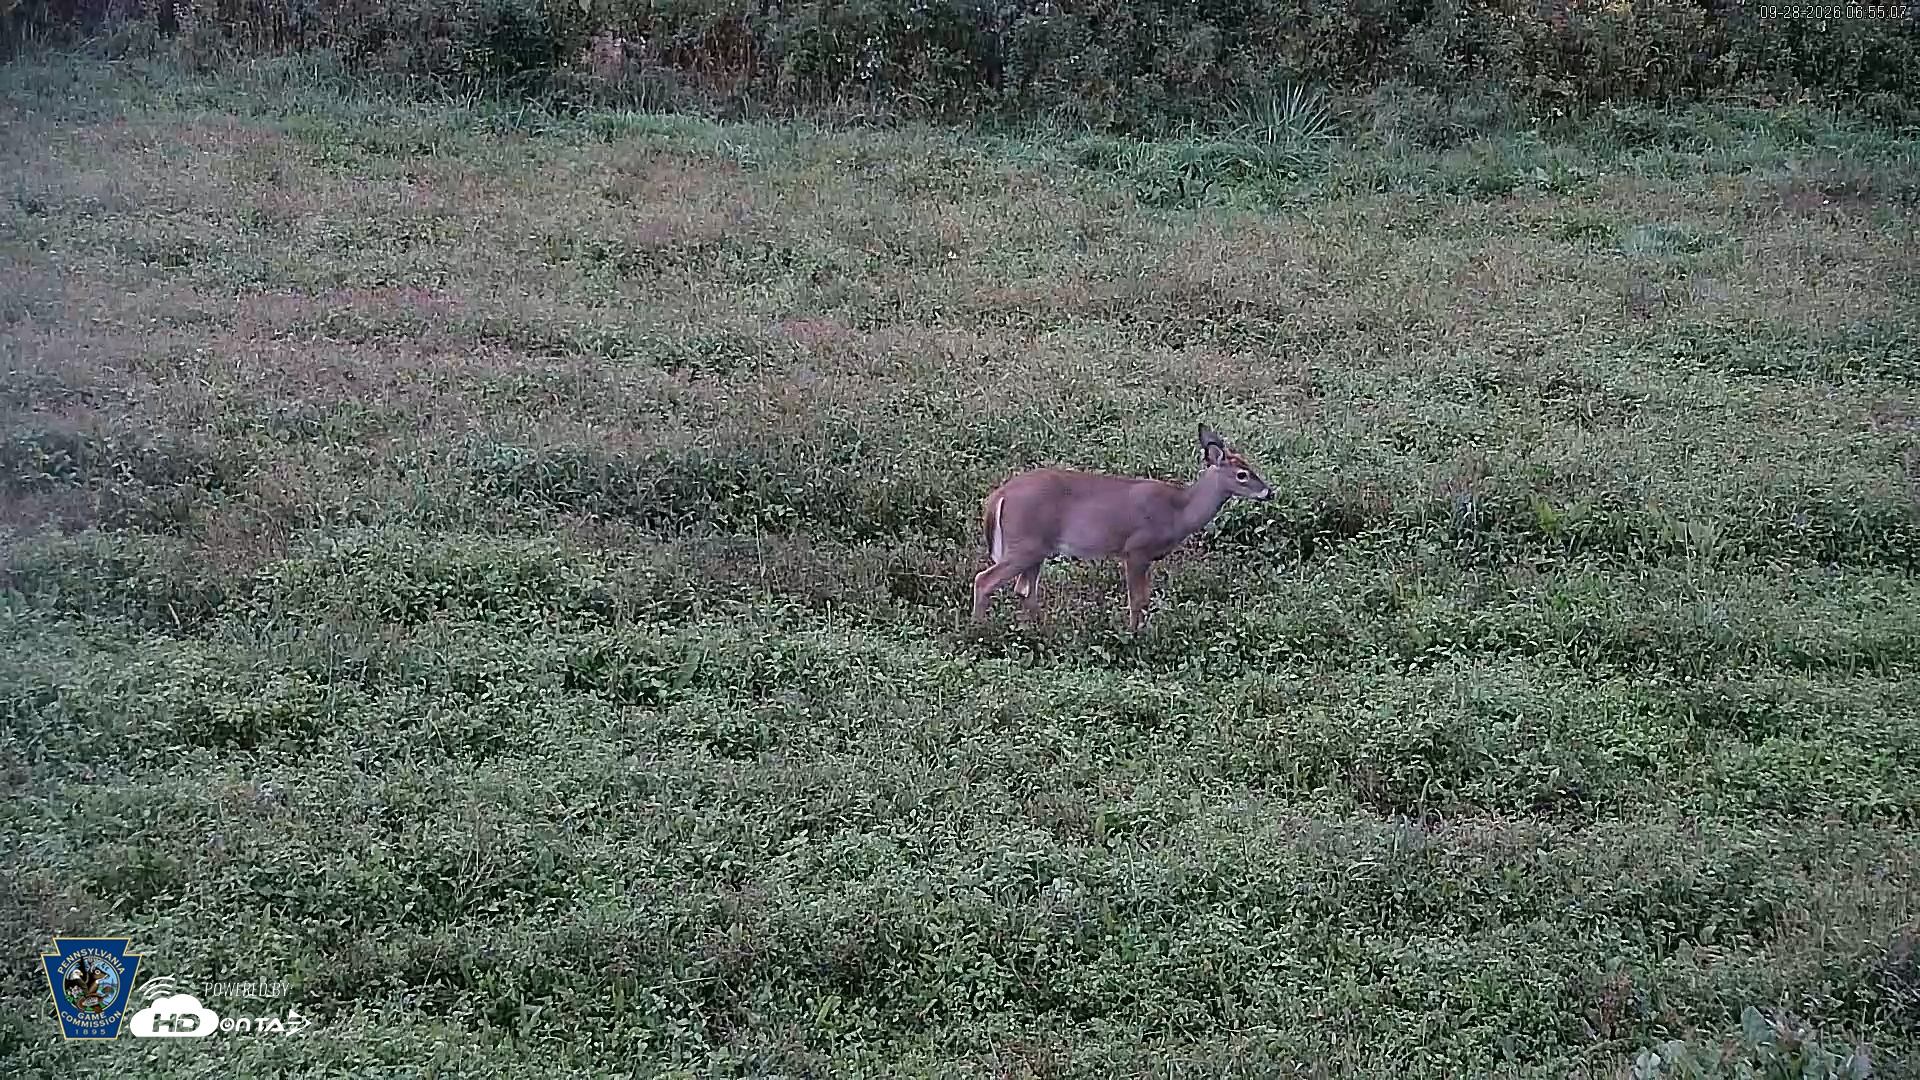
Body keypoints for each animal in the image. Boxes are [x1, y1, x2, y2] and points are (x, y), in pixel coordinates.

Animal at [972, 424, 1273, 632]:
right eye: (1242, 474)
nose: (1269, 492)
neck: (1179, 511)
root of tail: (998, 496)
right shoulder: (1135, 549)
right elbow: (1137, 599)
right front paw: (1134, 635)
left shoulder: (1147, 558)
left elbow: (1145, 598)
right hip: (1025, 545)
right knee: (984, 580)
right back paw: (979, 630)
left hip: (1037, 550)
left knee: (1025, 591)